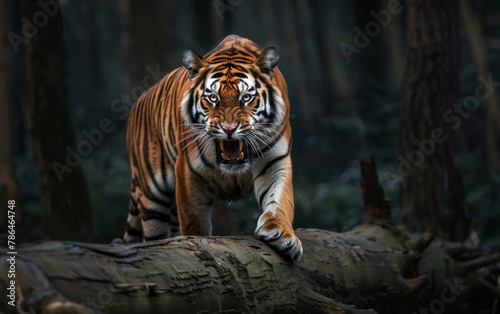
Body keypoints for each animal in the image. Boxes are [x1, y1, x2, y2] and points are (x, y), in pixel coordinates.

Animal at [123, 33, 302, 260]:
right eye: (212, 98)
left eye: (246, 97)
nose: (229, 128)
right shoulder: (187, 172)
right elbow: (194, 223)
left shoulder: (275, 161)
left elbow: (280, 200)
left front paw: (282, 235)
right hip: (152, 197)